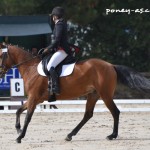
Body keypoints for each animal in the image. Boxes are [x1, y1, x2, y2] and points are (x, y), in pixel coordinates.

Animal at [0, 43, 150, 143]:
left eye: (1, 55)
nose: (0, 73)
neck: (30, 68)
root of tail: (111, 65)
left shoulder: (33, 98)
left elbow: (27, 117)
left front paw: (20, 136)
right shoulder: (35, 99)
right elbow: (18, 110)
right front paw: (18, 130)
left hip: (105, 95)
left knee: (115, 112)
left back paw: (112, 135)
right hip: (93, 95)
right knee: (88, 114)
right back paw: (70, 135)